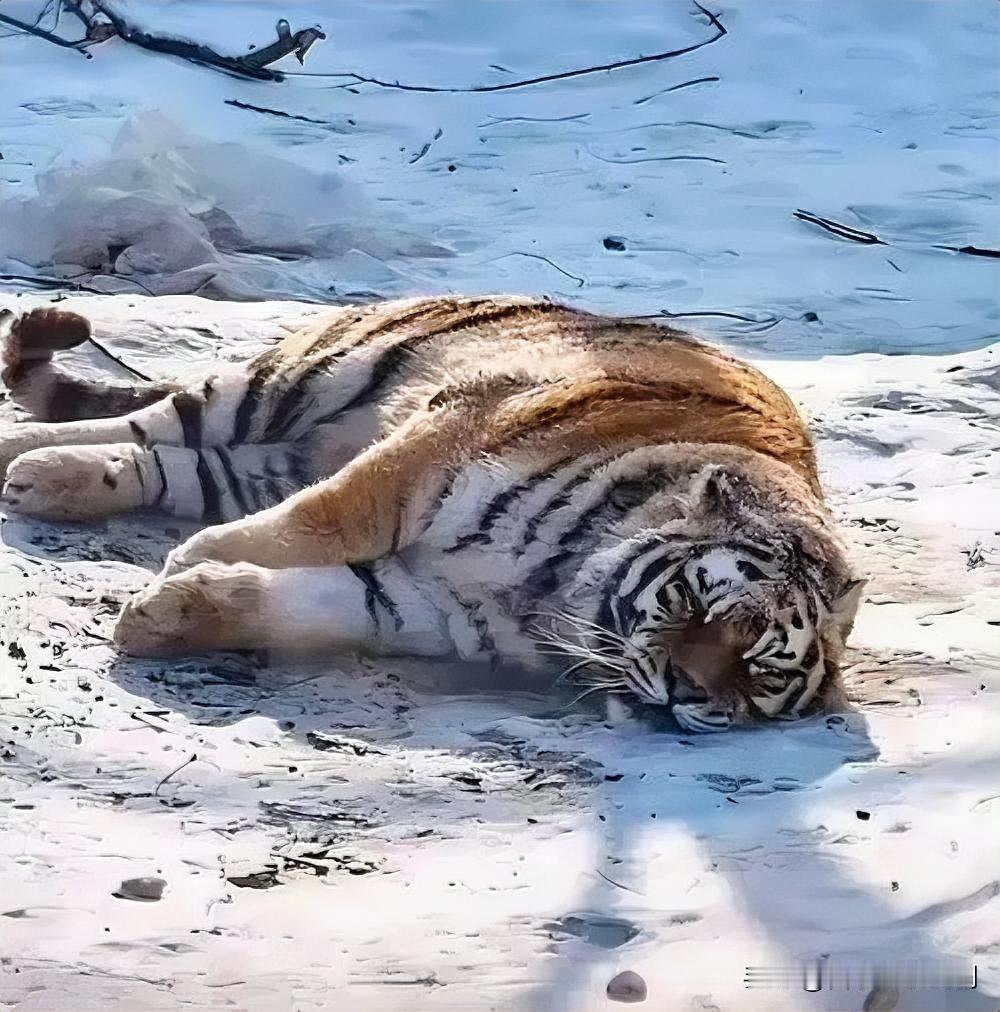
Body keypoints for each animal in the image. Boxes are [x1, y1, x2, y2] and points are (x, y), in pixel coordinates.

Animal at [0, 295, 865, 733]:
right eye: (693, 601)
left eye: (756, 672)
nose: (685, 692)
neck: (553, 594)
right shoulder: (446, 438)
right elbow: (326, 521)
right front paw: (187, 561)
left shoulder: (432, 609)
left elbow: (309, 602)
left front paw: (170, 611)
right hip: (288, 384)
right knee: (154, 422)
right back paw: (21, 455)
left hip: (269, 455)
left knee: (174, 462)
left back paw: (44, 479)